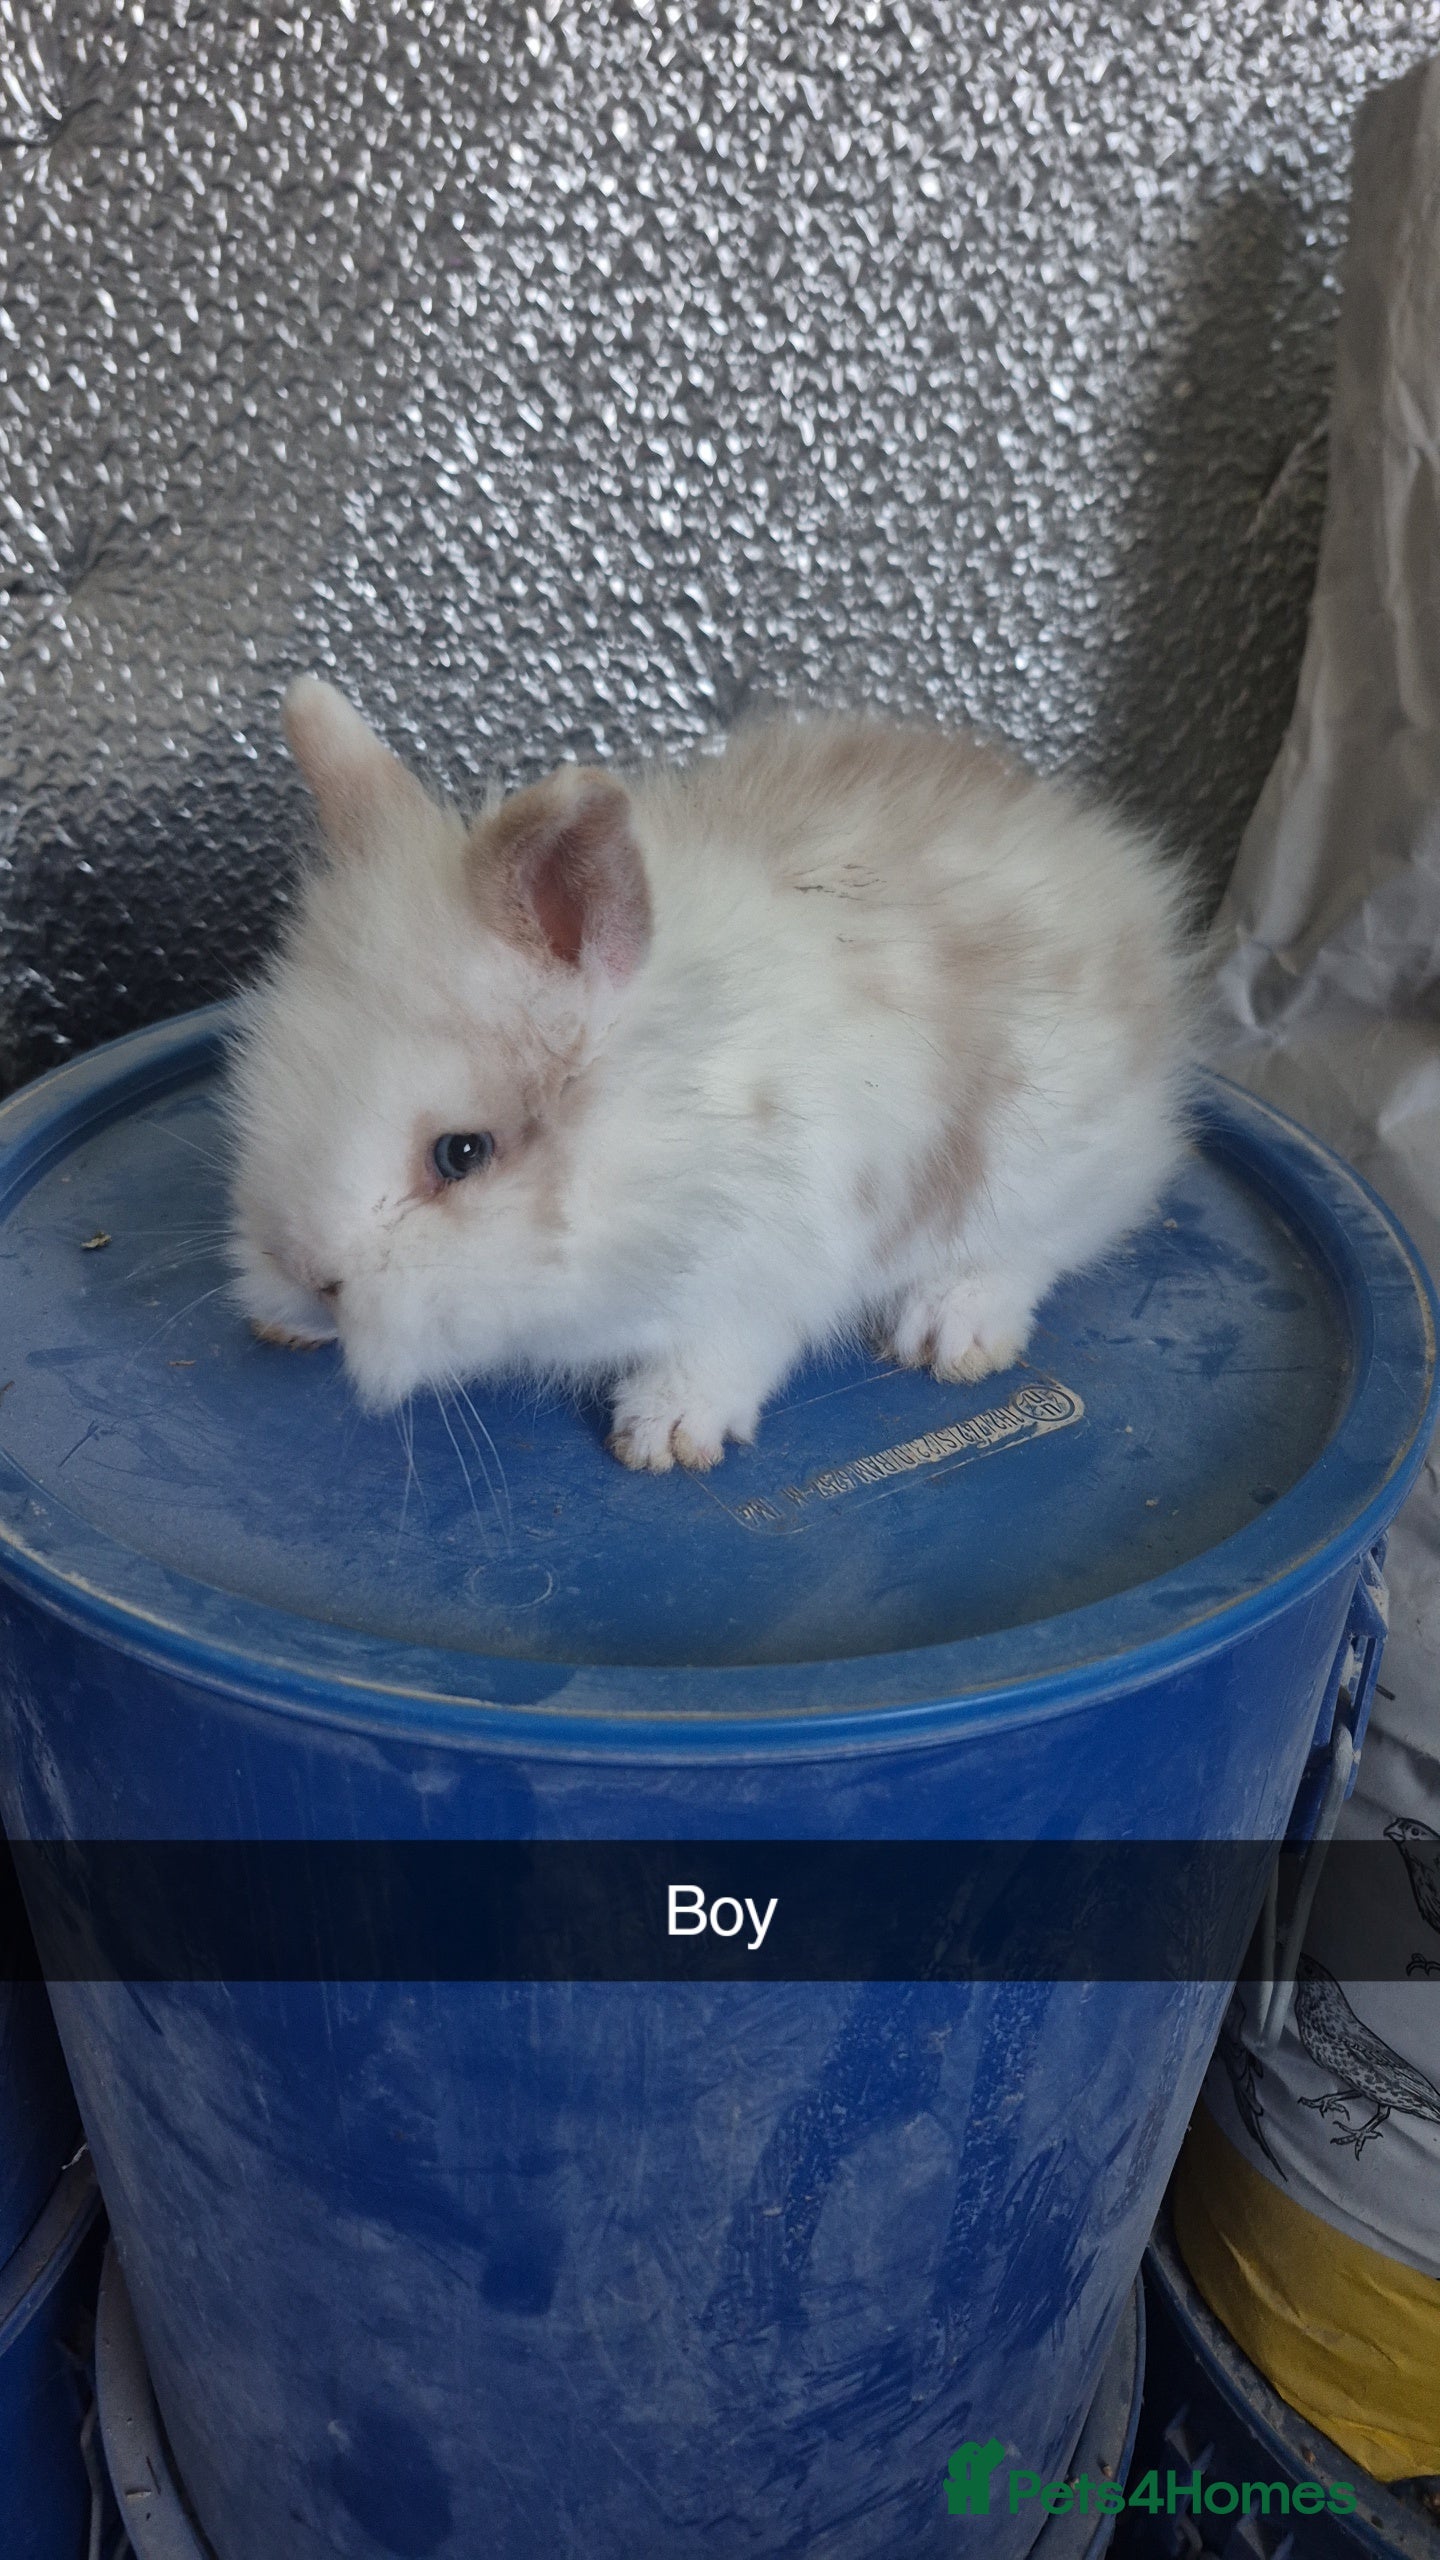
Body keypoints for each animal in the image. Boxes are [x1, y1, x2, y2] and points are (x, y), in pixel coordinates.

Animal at [226, 677, 1195, 1471]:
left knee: (1045, 1244)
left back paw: (952, 1329)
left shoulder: (761, 1275)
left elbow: (720, 1354)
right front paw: (280, 1322)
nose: (310, 1275)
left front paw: (665, 1433)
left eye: (460, 1153)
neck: (662, 1127)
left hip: (1044, 1167)